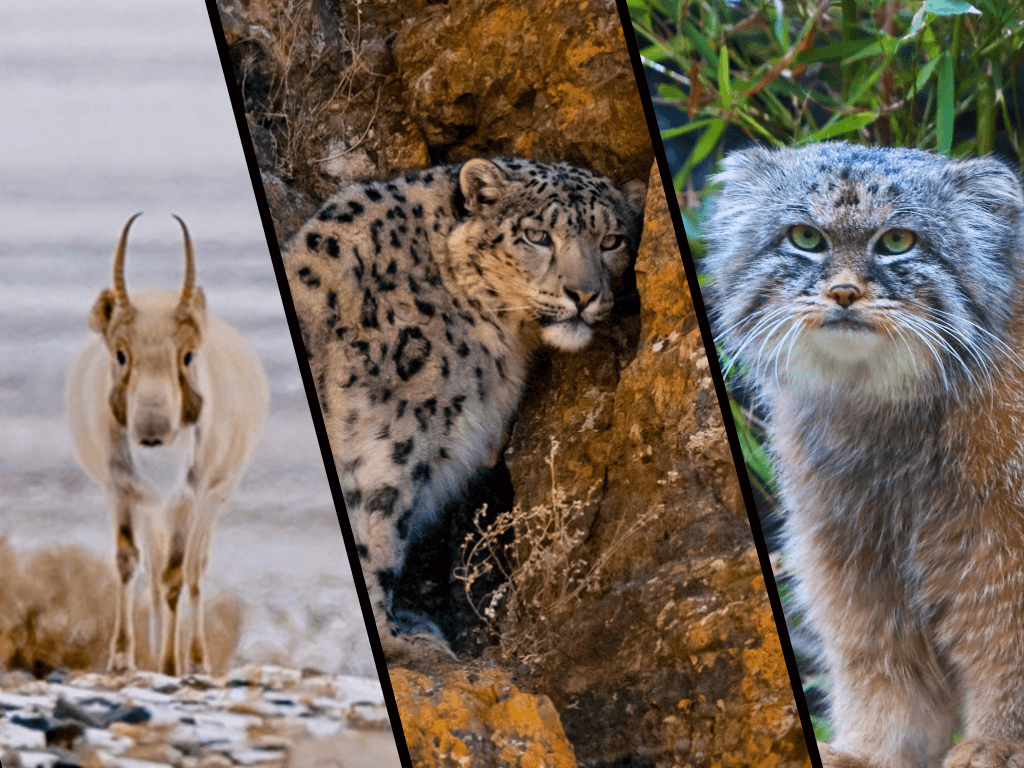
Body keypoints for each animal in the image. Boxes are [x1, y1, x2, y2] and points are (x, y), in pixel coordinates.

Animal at [283, 157, 646, 656]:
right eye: (537, 235)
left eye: (612, 240)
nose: (583, 295)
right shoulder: (390, 438)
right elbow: (376, 530)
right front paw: (399, 639)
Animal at [703, 141, 1024, 768]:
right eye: (805, 237)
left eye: (898, 241)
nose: (845, 294)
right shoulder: (853, 545)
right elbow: (883, 661)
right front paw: (870, 750)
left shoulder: (999, 544)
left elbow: (1004, 643)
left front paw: (1000, 744)